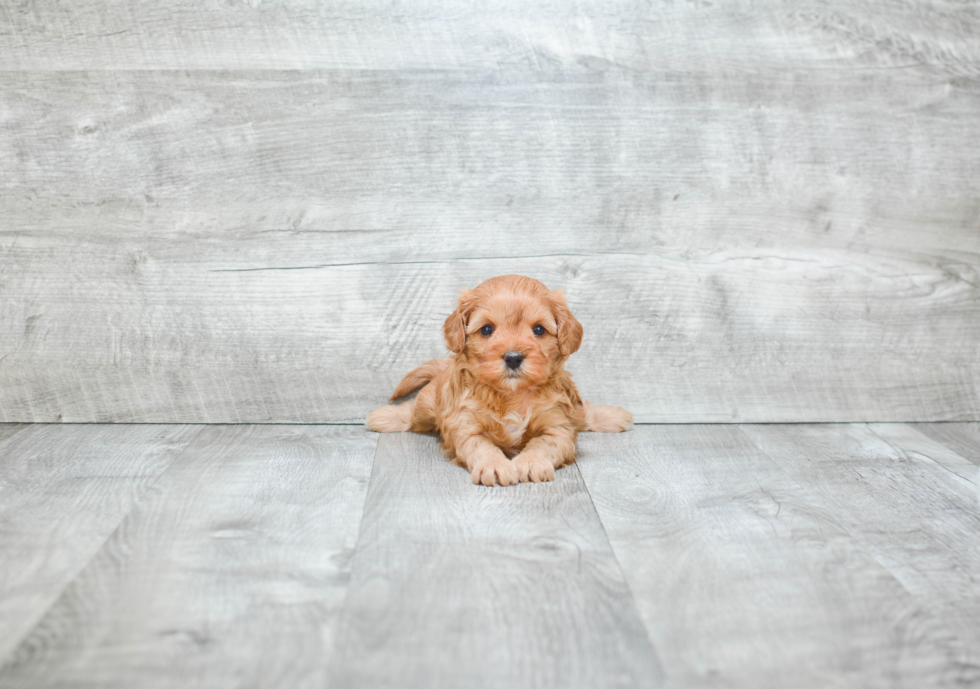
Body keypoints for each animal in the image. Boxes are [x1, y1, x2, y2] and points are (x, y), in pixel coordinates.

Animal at [368, 272, 636, 486]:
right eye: (487, 329)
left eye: (539, 330)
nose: (513, 358)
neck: (512, 394)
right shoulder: (466, 425)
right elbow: (482, 447)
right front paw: (494, 466)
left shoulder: (557, 425)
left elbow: (544, 444)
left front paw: (530, 463)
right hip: (427, 405)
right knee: (413, 414)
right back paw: (384, 417)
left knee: (582, 414)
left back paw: (614, 416)